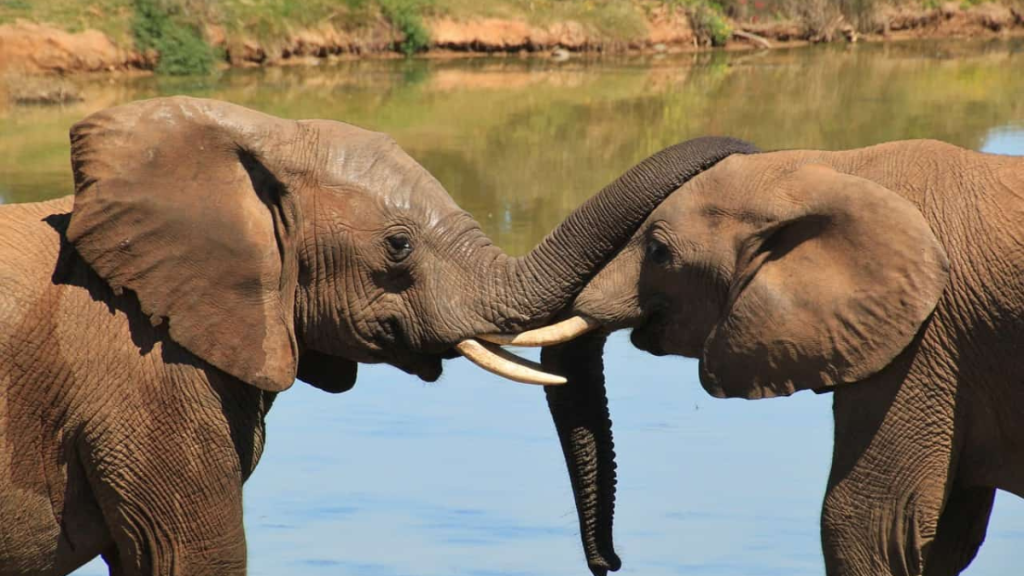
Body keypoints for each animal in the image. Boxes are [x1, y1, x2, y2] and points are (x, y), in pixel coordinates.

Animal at [501, 139, 1024, 573]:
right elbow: (942, 538)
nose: (609, 562)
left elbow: (867, 525)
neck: (837, 170)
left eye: (658, 252)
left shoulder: (926, 342)